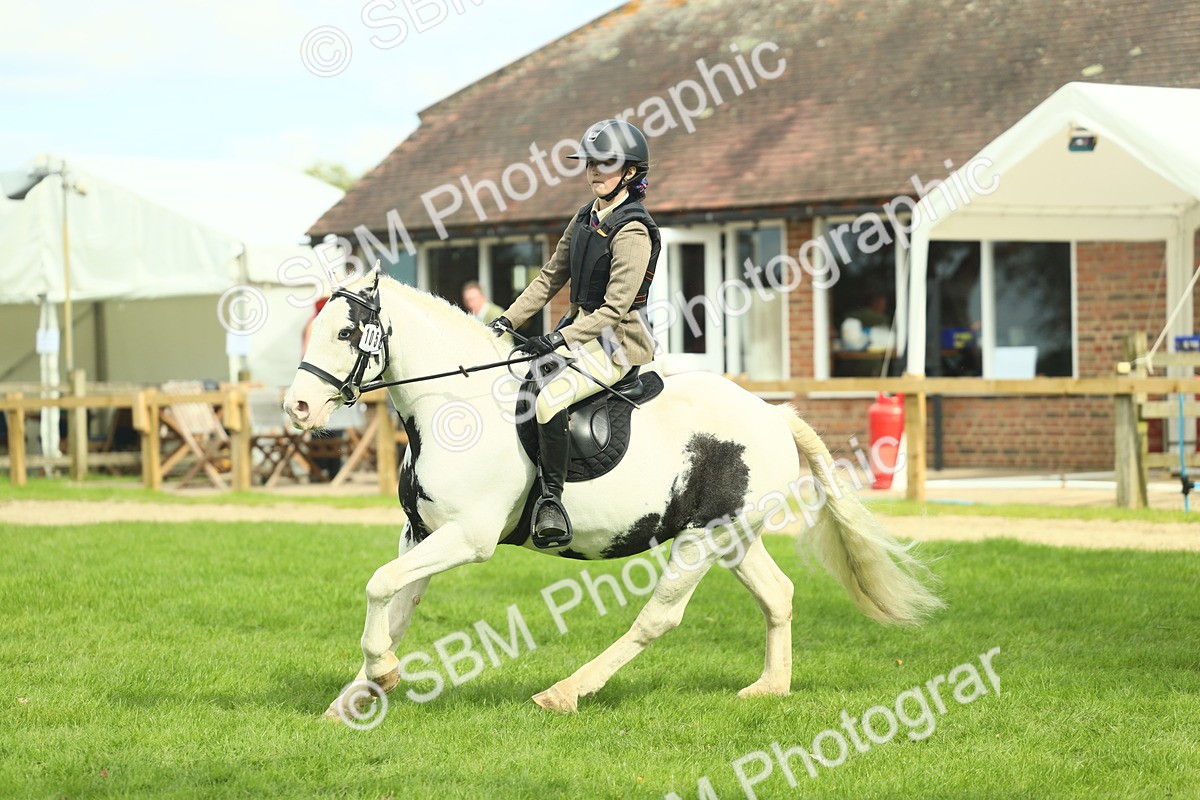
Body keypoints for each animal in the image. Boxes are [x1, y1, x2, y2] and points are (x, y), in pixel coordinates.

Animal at [283, 266, 942, 721]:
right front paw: (360, 694)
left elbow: (379, 587)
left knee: (660, 617)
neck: (453, 408)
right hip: (731, 534)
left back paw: (566, 692)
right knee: (777, 595)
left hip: (702, 541)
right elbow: (395, 606)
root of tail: (773, 415)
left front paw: (381, 676)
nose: (298, 407)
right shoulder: (420, 532)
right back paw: (769, 688)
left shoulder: (467, 536)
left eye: (345, 331)